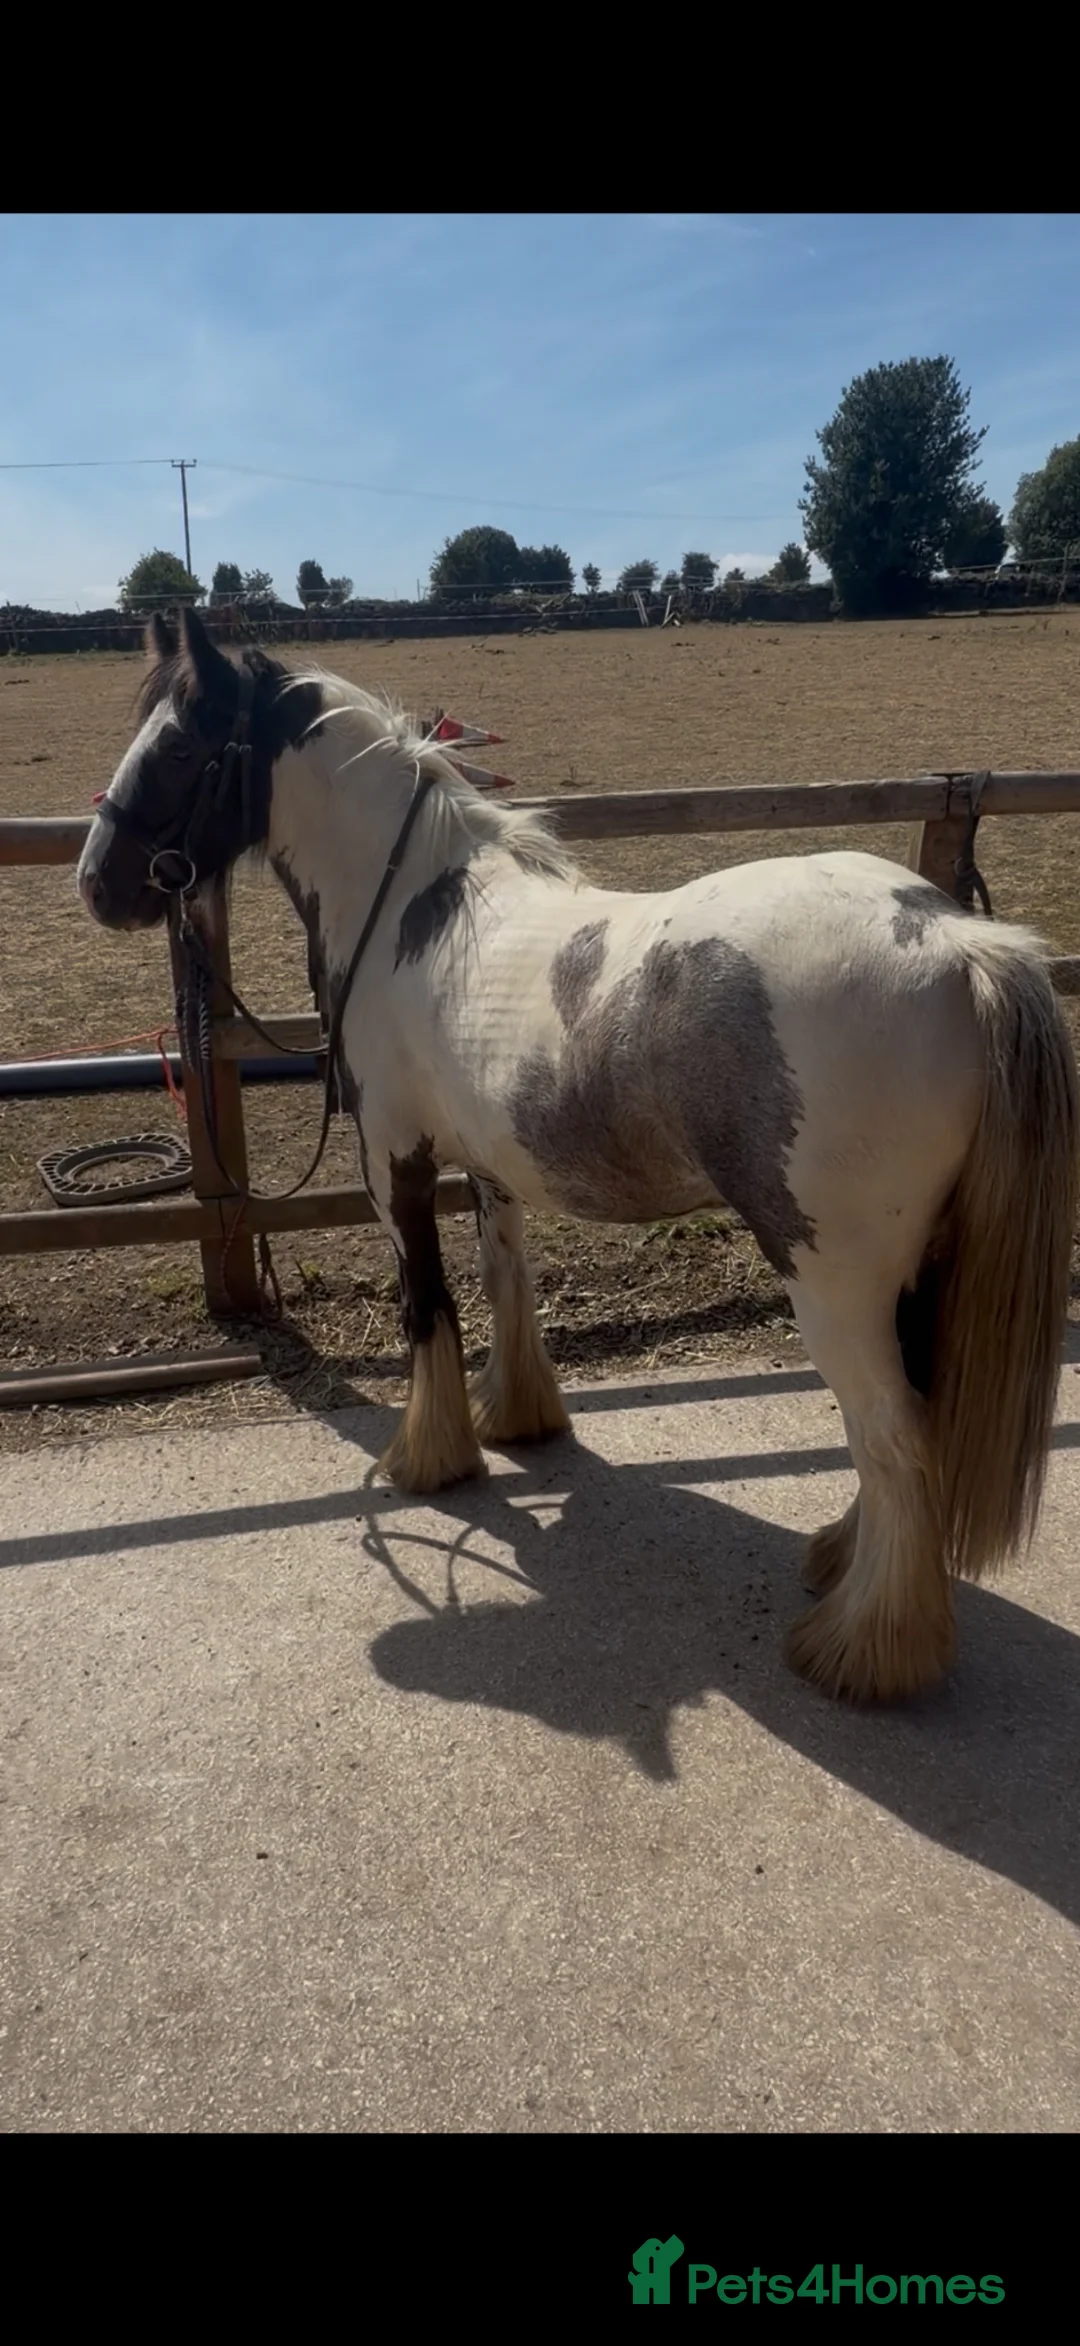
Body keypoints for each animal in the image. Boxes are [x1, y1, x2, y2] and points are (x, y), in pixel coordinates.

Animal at [77, 606, 1079, 1705]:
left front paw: (431, 1459)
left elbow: (427, 1306)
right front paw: (516, 1419)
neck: (413, 909)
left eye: (178, 746)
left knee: (892, 1435)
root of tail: (955, 944)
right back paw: (843, 1563)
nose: (97, 882)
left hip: (834, 1278)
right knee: (914, 1420)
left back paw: (863, 1648)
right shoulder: (489, 1166)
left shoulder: (395, 1166)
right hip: (919, 1266)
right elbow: (505, 1282)